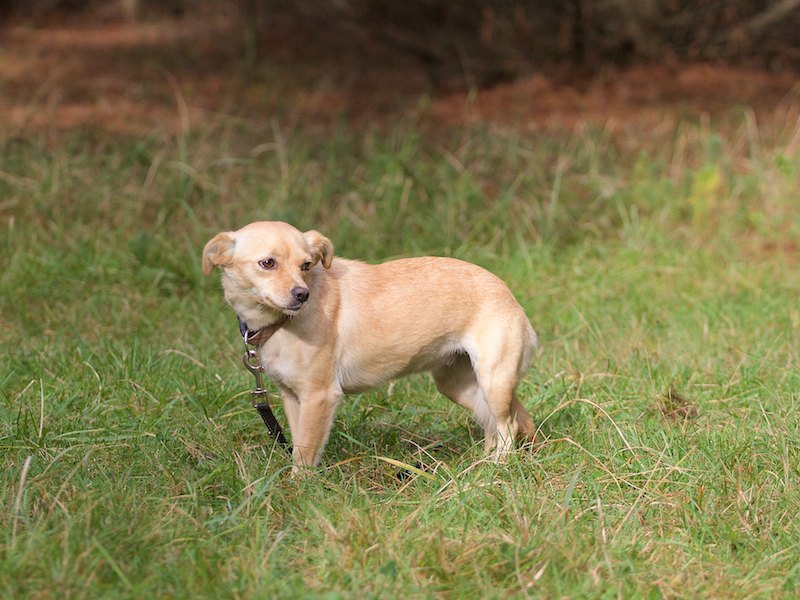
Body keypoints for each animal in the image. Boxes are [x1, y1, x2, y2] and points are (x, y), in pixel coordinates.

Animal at [203, 221, 537, 469]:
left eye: (307, 265)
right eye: (267, 263)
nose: (302, 294)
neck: (280, 323)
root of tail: (509, 296)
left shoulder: (319, 397)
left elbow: (305, 453)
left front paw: (299, 491)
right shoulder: (293, 398)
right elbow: (299, 444)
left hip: (493, 382)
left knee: (507, 427)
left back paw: (497, 468)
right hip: (461, 386)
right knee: (502, 424)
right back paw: (483, 463)